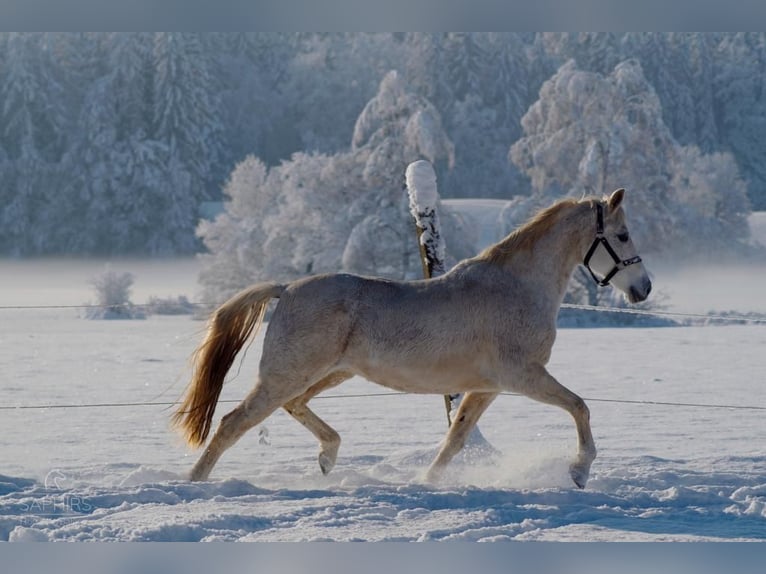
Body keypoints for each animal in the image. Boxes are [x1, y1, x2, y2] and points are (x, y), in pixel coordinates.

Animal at [173, 188, 651, 488]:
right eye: (623, 235)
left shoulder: (487, 387)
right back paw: (194, 485)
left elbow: (455, 438)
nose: (643, 289)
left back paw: (328, 457)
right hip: (287, 375)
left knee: (293, 406)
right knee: (233, 422)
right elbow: (579, 406)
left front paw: (428, 482)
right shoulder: (522, 376)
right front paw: (579, 471)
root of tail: (286, 288)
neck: (518, 287)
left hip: (329, 374)